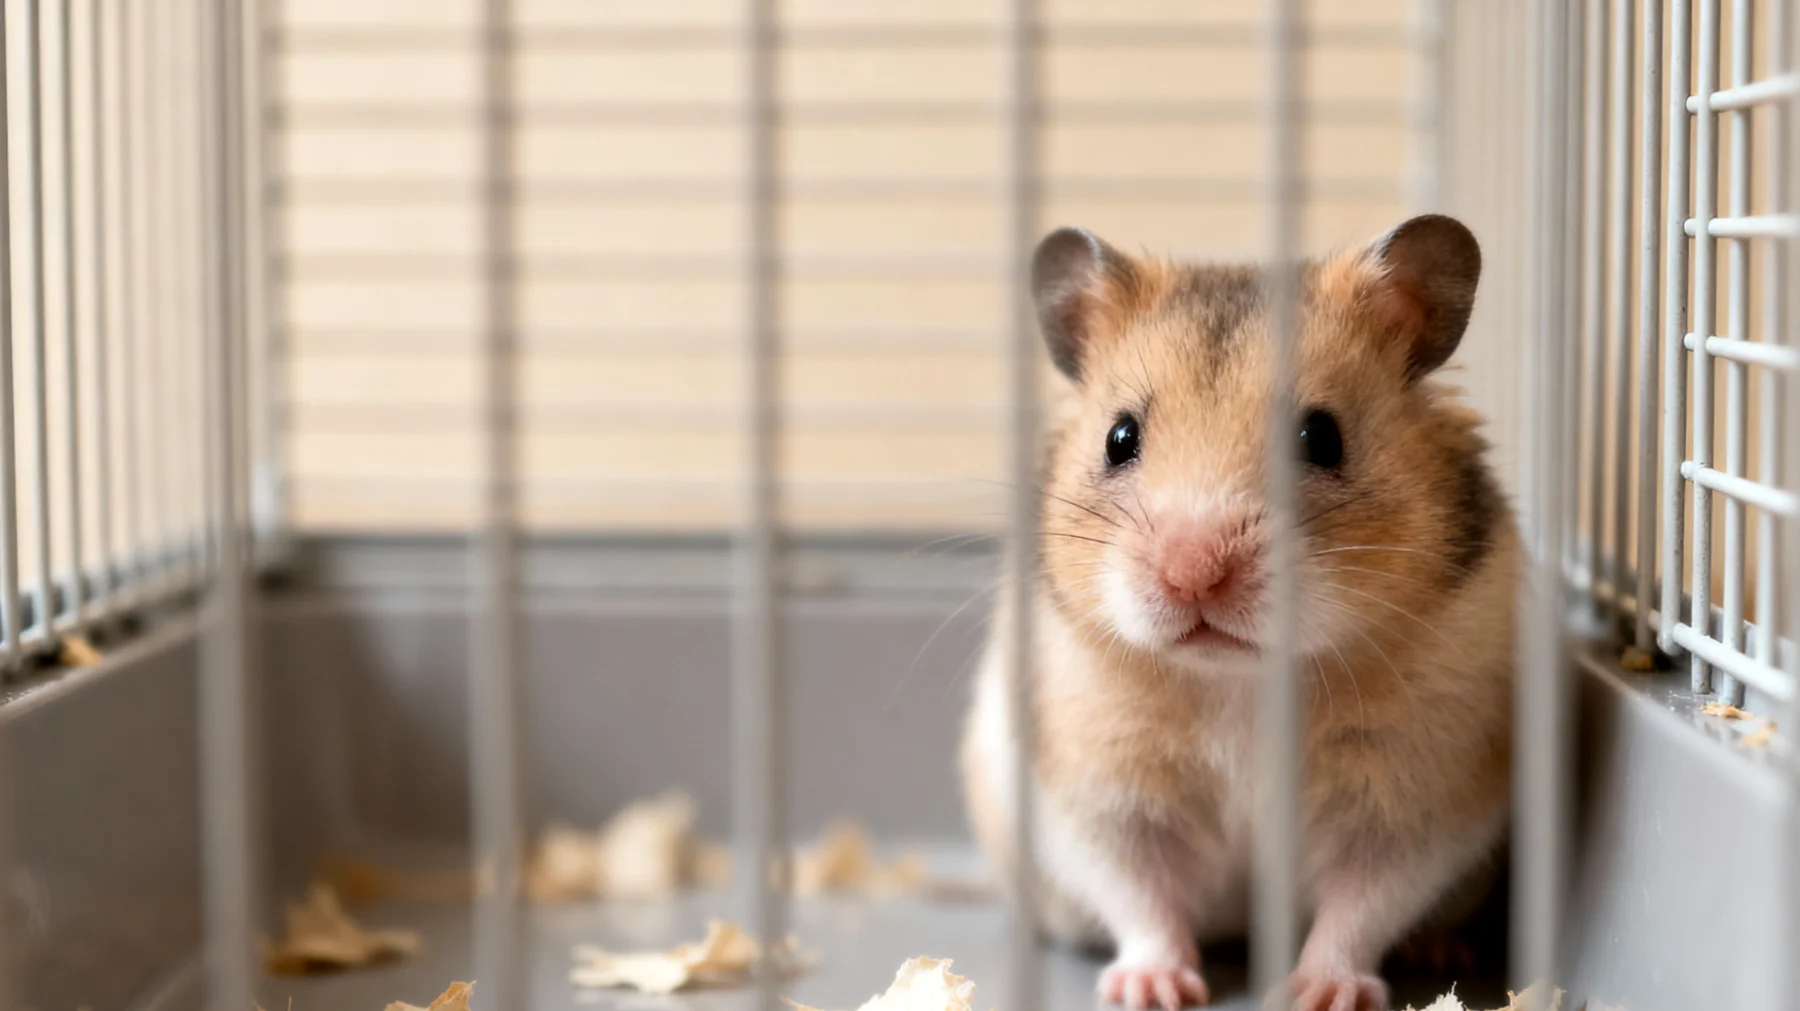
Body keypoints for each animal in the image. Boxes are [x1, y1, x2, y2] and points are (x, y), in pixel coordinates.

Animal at [959, 215, 1518, 1011]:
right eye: (1119, 438)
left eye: (1321, 437)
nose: (1193, 575)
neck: (1240, 681)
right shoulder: (1103, 796)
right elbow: (1141, 896)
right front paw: (1154, 990)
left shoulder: (1416, 800)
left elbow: (1362, 904)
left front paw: (1324, 994)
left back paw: (1439, 947)